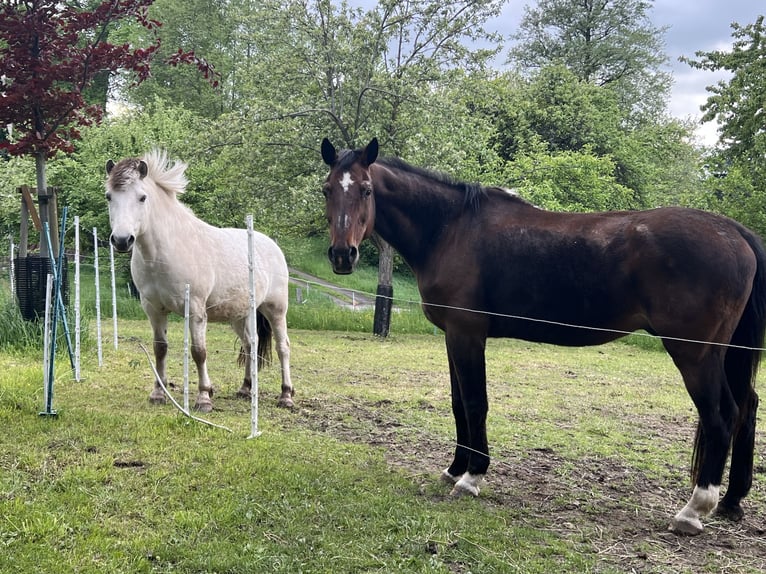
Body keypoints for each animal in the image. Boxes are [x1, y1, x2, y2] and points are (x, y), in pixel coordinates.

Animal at [105, 149, 294, 413]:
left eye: (142, 197)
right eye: (109, 196)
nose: (122, 240)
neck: (166, 252)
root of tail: (272, 246)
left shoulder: (195, 310)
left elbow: (199, 352)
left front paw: (204, 397)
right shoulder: (153, 309)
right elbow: (159, 349)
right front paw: (158, 393)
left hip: (276, 309)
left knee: (282, 347)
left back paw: (286, 395)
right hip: (240, 314)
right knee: (250, 344)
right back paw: (246, 389)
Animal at [320, 137, 766, 535]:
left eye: (365, 190)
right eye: (327, 189)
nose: (342, 255)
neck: (450, 229)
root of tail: (734, 231)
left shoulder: (467, 334)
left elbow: (475, 403)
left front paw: (472, 477)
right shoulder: (452, 336)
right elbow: (458, 404)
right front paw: (453, 468)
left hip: (695, 355)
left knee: (721, 415)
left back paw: (694, 510)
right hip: (725, 353)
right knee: (747, 406)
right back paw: (730, 501)